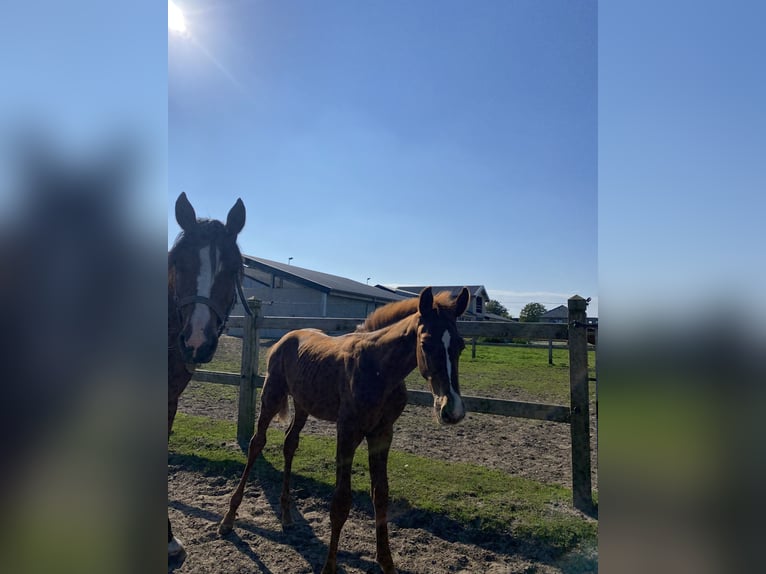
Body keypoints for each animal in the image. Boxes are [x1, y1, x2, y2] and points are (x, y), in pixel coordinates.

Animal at [220, 288, 474, 574]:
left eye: (460, 346)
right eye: (426, 343)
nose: (452, 410)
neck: (379, 370)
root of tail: (284, 339)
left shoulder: (382, 434)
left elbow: (381, 495)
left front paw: (387, 563)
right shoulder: (348, 432)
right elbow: (341, 502)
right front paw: (329, 566)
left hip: (304, 404)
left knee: (290, 443)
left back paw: (286, 517)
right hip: (271, 396)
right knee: (257, 442)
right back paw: (228, 519)